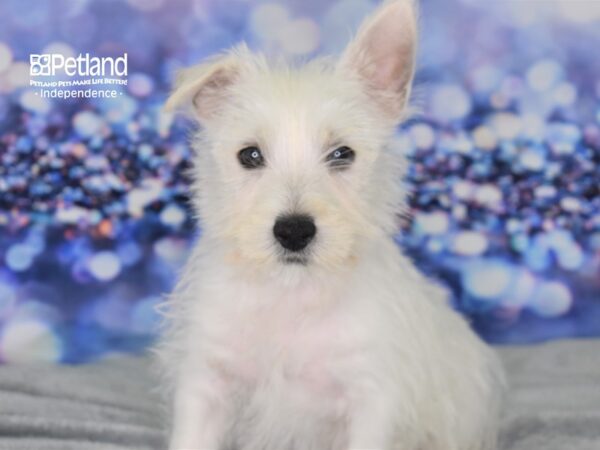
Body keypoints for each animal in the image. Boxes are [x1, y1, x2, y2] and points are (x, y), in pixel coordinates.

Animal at [158, 1, 502, 448]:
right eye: (250, 155)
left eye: (342, 154)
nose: (294, 231)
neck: (290, 295)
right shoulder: (208, 382)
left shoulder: (371, 397)